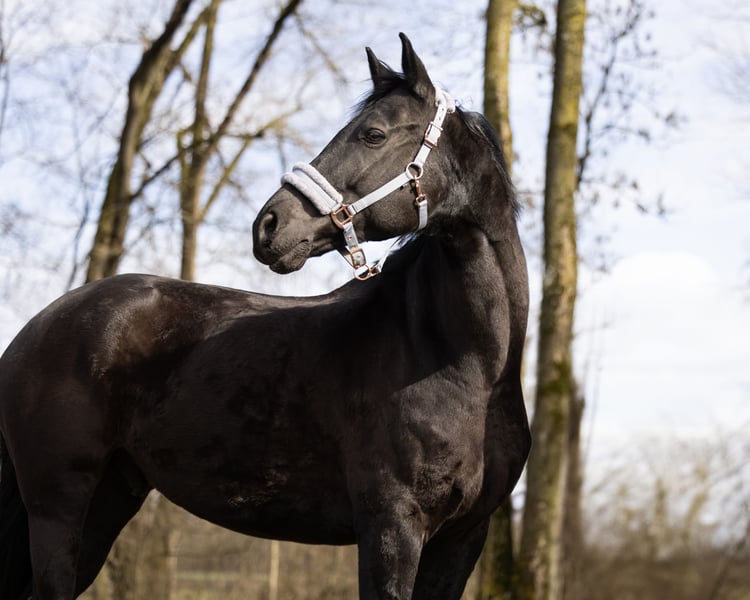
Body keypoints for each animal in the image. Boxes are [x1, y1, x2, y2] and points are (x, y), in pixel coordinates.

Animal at [0, 33, 530, 600]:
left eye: (373, 134)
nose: (269, 225)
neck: (461, 365)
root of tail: (34, 329)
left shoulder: (462, 540)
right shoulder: (392, 528)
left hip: (108, 499)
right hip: (57, 508)